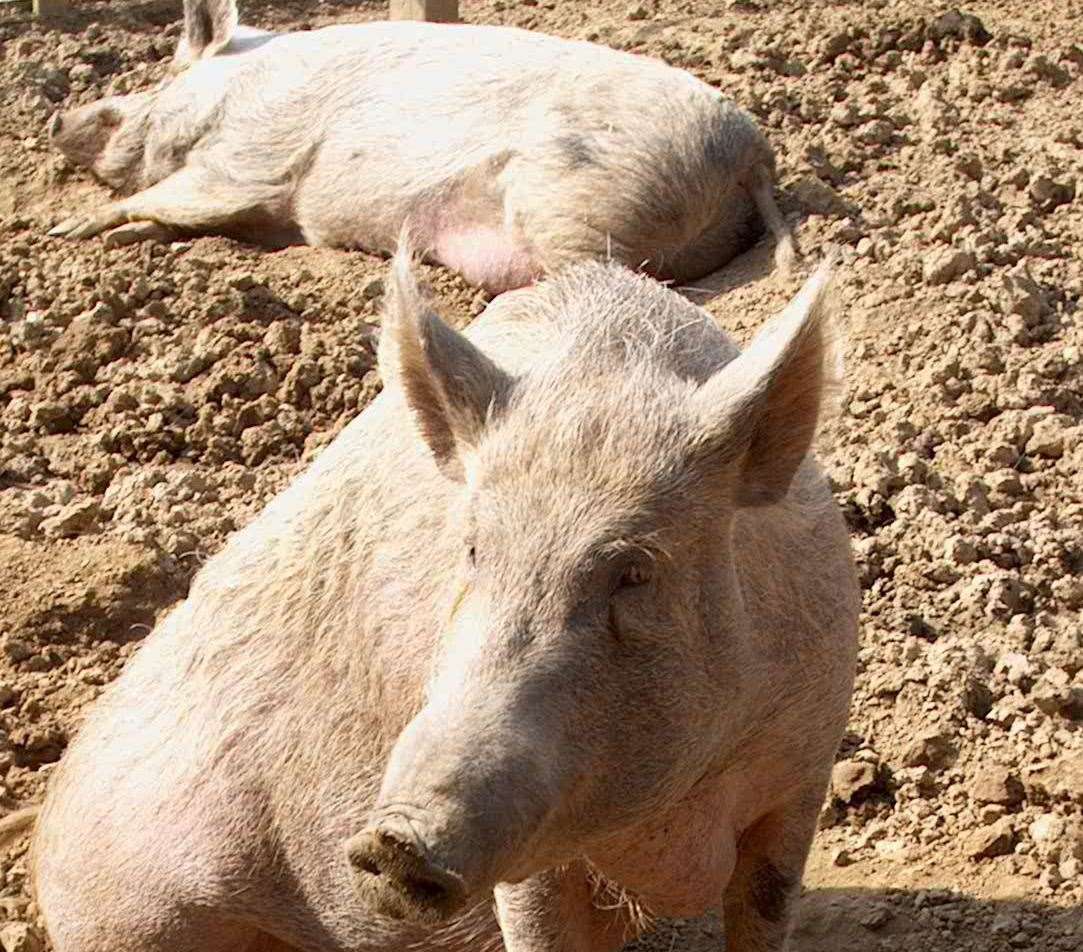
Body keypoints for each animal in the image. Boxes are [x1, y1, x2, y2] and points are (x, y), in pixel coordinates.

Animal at [29, 251, 857, 952]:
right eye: (472, 551)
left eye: (633, 570)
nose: (392, 839)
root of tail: (42, 824)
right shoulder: (531, 856)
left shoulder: (802, 773)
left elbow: (763, 913)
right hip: (140, 915)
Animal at [48, 0, 797, 292]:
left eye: (150, 85)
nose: (57, 120)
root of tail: (753, 152)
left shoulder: (251, 158)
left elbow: (173, 193)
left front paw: (65, 230)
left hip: (574, 198)